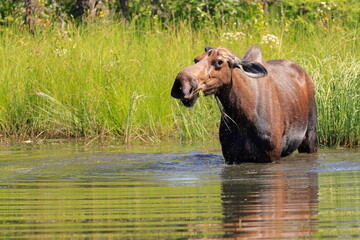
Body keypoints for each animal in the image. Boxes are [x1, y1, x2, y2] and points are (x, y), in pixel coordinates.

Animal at [170, 45, 316, 163]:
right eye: (196, 59)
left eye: (219, 62)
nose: (181, 85)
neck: (241, 115)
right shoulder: (230, 157)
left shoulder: (272, 155)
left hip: (310, 136)